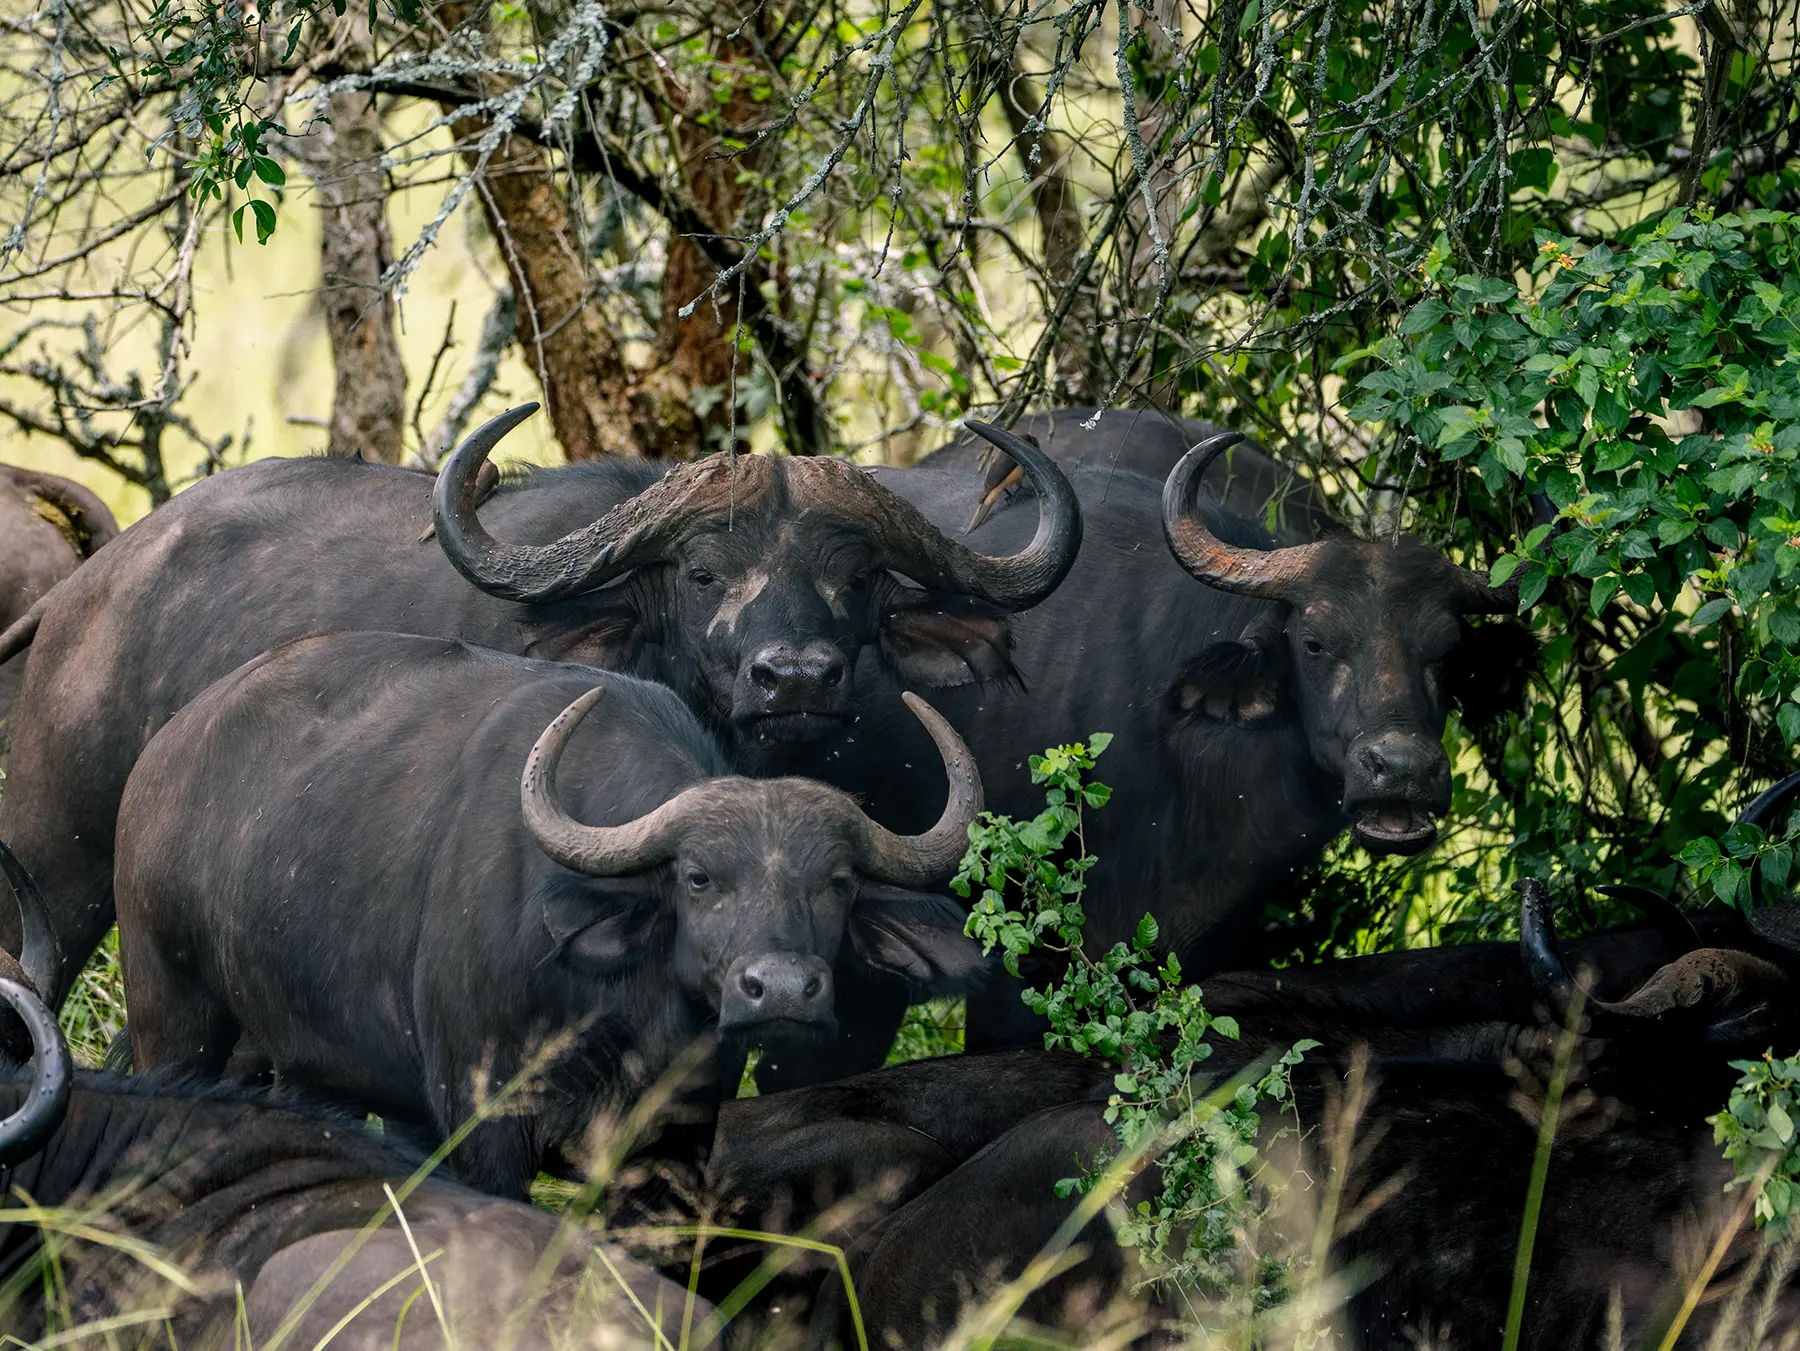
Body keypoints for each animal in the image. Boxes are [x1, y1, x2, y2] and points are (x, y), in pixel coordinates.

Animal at [111, 631, 984, 1195]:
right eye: (698, 877)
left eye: (836, 881)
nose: (781, 990)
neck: (618, 1012)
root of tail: (161, 756)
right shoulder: (481, 1124)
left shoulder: (676, 1140)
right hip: (172, 1019)